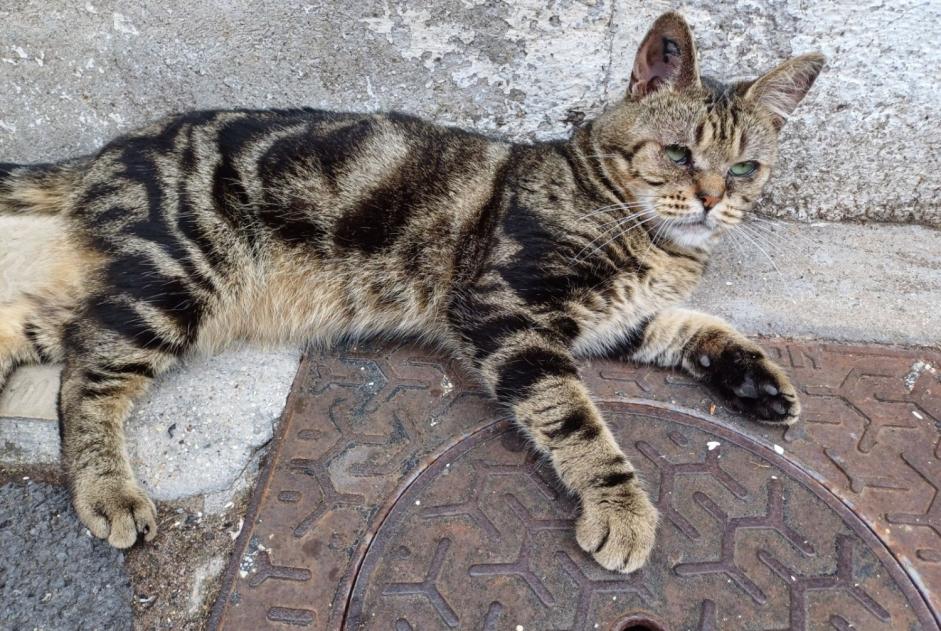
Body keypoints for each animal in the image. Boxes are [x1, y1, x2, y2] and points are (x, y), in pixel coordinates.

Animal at [0, 11, 824, 572]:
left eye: (744, 168)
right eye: (679, 154)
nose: (714, 199)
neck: (653, 239)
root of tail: (106, 152)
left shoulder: (614, 320)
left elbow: (692, 325)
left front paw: (754, 378)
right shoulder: (505, 308)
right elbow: (575, 418)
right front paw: (620, 506)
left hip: (123, 290)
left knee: (36, 329)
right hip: (175, 283)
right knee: (83, 378)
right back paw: (108, 493)